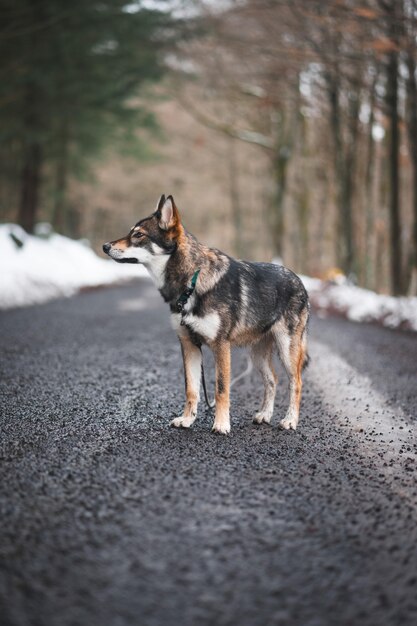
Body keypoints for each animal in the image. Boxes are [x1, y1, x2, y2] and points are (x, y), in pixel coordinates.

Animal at [102, 195, 308, 434]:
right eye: (130, 233)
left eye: (138, 235)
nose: (105, 246)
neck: (191, 281)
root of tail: (298, 279)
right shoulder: (189, 345)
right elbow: (191, 390)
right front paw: (187, 420)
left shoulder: (221, 346)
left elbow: (221, 389)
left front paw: (221, 424)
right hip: (257, 355)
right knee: (272, 380)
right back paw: (265, 415)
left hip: (287, 350)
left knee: (296, 383)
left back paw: (290, 420)